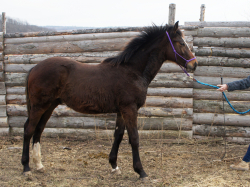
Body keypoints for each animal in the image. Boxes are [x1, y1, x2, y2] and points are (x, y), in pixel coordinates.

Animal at [21, 21, 197, 179]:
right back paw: (26, 167)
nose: (194, 64)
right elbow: (134, 138)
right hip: (39, 106)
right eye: (181, 43)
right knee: (29, 129)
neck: (132, 71)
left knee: (38, 130)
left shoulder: (121, 111)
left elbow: (118, 135)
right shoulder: (129, 109)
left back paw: (39, 165)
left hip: (49, 106)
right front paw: (141, 171)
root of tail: (35, 68)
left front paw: (114, 166)